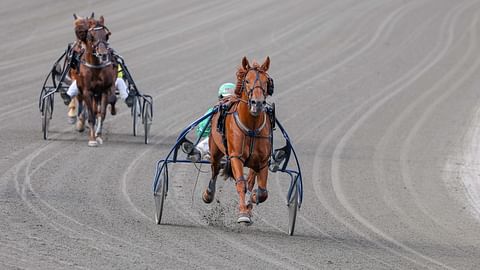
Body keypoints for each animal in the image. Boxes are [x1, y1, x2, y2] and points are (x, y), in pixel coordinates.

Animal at [73, 14, 116, 147]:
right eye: (91, 36)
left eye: (106, 35)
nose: (103, 54)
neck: (95, 67)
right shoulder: (87, 91)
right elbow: (91, 115)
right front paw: (92, 139)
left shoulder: (104, 90)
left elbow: (102, 113)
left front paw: (99, 136)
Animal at [203, 56, 274, 224]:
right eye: (247, 81)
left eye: (266, 81)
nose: (257, 103)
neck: (252, 127)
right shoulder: (236, 156)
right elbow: (241, 183)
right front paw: (243, 213)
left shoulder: (263, 161)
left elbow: (262, 192)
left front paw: (251, 199)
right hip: (215, 151)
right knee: (215, 169)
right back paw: (208, 193)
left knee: (251, 179)